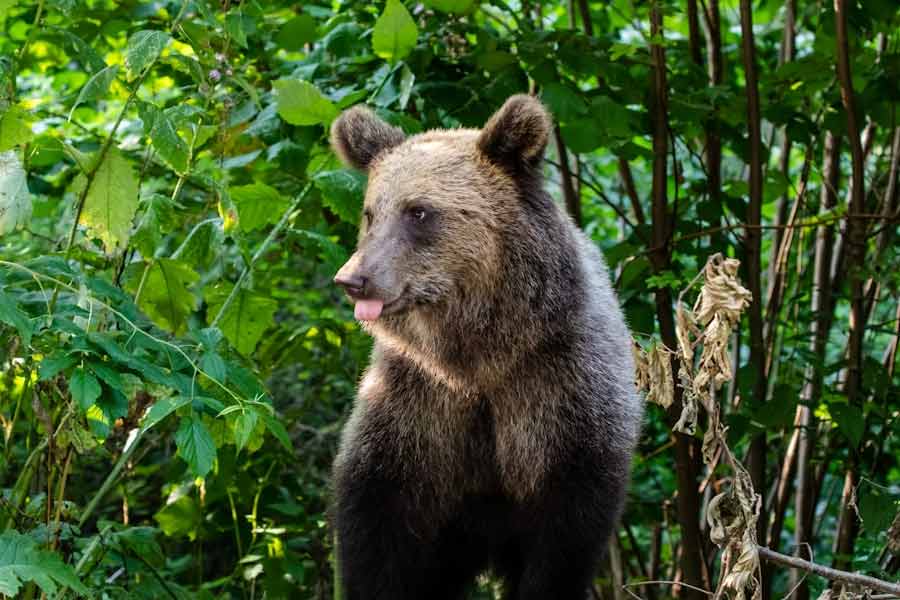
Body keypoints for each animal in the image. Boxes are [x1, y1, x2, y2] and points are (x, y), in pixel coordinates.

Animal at [329, 94, 642, 600]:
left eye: (419, 211)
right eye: (371, 213)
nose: (354, 279)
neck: (477, 355)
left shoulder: (559, 390)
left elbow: (564, 537)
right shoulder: (416, 402)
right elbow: (377, 523)